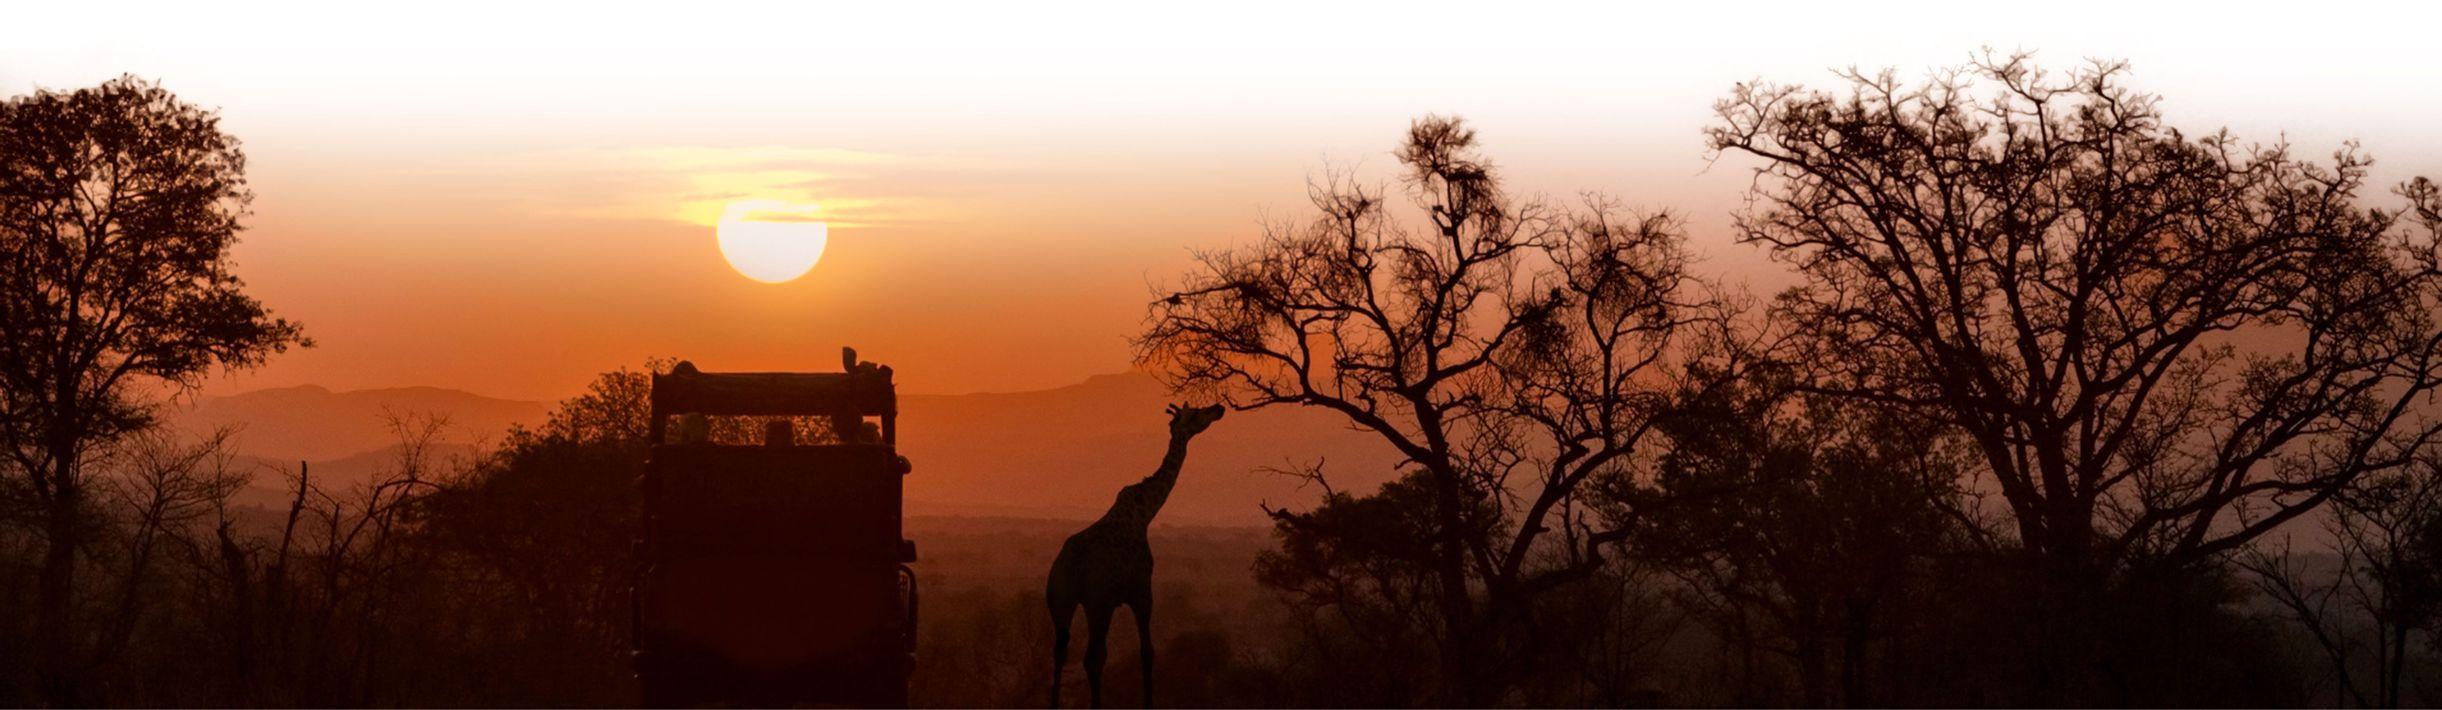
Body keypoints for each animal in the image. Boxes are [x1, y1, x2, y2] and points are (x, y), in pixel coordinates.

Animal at [1046, 403, 1225, 709]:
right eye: (1196, 413)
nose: (1219, 407)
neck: (1145, 514)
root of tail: (1067, 568)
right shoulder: (1141, 591)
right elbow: (1147, 651)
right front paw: (1148, 702)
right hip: (1098, 604)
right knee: (1092, 658)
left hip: (1061, 602)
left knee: (1060, 654)